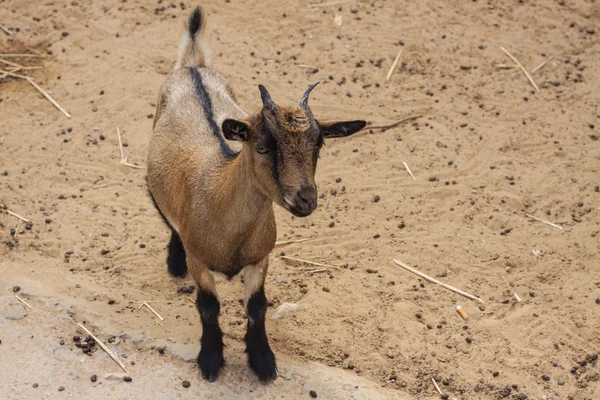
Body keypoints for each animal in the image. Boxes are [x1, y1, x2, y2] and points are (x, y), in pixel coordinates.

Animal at [146, 6, 366, 382]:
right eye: (262, 146)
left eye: (319, 145)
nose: (306, 198)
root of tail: (193, 67)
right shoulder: (200, 262)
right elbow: (208, 307)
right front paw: (210, 359)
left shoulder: (260, 258)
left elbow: (257, 307)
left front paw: (263, 361)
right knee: (165, 214)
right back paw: (174, 261)